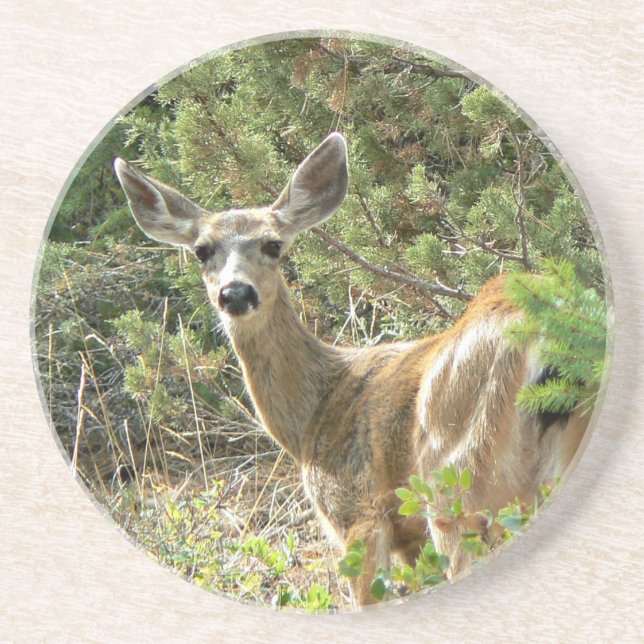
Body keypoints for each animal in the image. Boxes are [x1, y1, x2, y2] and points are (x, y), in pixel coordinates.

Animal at [114, 133, 589, 606]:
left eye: (273, 245)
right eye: (202, 251)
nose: (235, 293)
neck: (313, 413)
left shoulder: (356, 510)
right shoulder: (407, 535)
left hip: (458, 472)